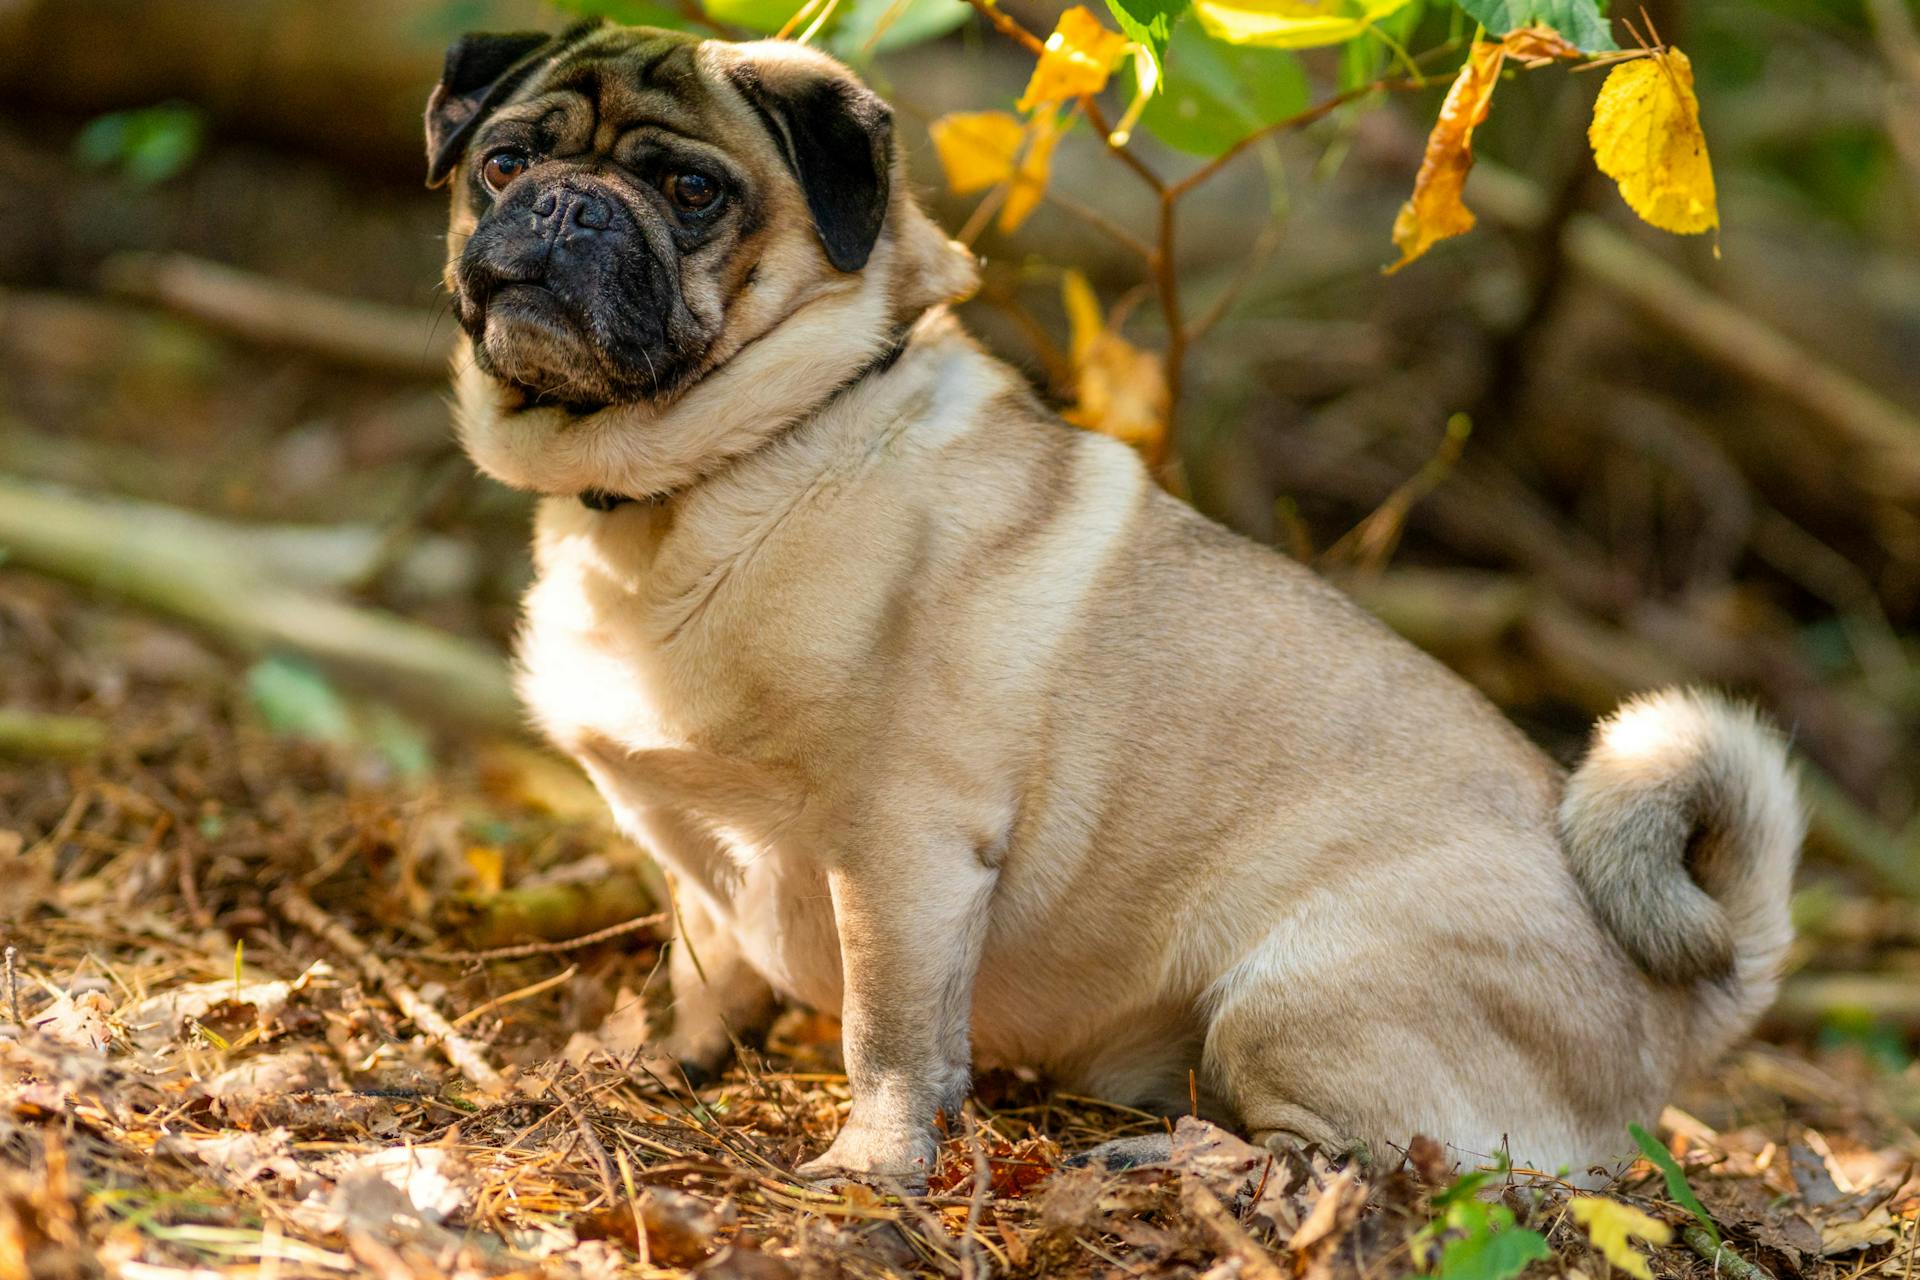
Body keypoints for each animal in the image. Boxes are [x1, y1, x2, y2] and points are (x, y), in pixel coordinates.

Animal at [432, 20, 1797, 1189]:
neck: (706, 474)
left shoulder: (904, 853)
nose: (562, 201)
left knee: (1368, 1164)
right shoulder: (705, 858)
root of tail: (1670, 1008)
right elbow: (703, 964)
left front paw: (873, 1163)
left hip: (1293, 996)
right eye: (501, 163)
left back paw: (1181, 1159)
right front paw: (663, 1061)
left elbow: (890, 1035)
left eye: (693, 192)